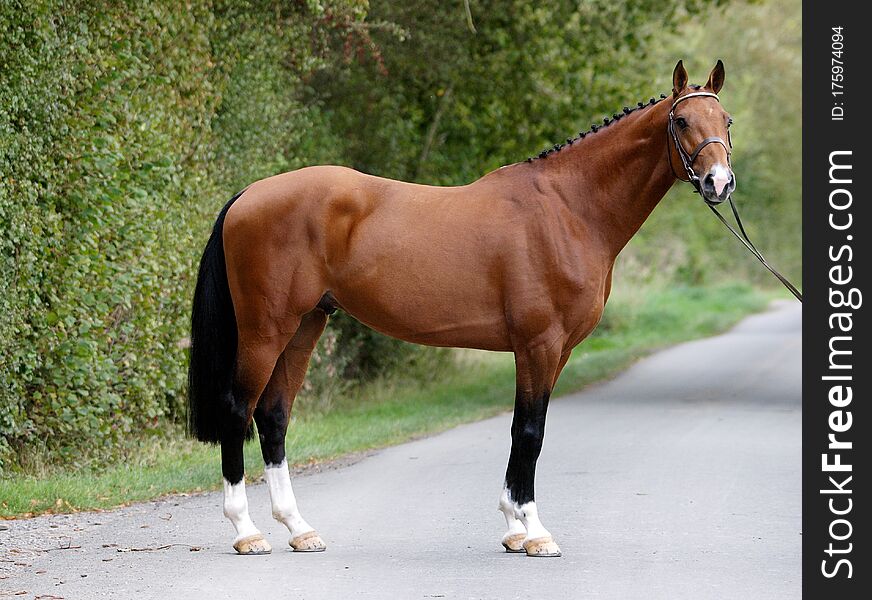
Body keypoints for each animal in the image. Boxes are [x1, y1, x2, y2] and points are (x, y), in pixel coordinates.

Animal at [189, 61, 736, 556]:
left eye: (725, 120)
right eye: (681, 121)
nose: (720, 183)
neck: (568, 209)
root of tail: (248, 195)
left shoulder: (555, 351)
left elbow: (521, 431)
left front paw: (514, 528)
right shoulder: (539, 345)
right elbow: (530, 431)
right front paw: (535, 533)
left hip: (306, 324)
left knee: (274, 416)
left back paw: (299, 529)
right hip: (266, 329)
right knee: (238, 410)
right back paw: (247, 532)